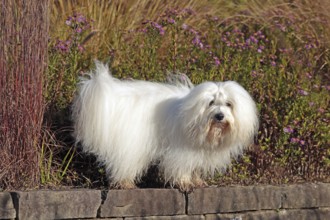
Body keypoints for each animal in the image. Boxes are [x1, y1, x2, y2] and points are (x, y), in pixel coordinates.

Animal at [73, 62, 260, 191]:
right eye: (211, 103)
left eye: (229, 104)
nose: (219, 116)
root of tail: (116, 96)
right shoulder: (182, 150)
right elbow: (182, 166)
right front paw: (185, 183)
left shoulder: (200, 151)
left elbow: (195, 167)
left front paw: (197, 181)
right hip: (131, 142)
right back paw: (125, 183)